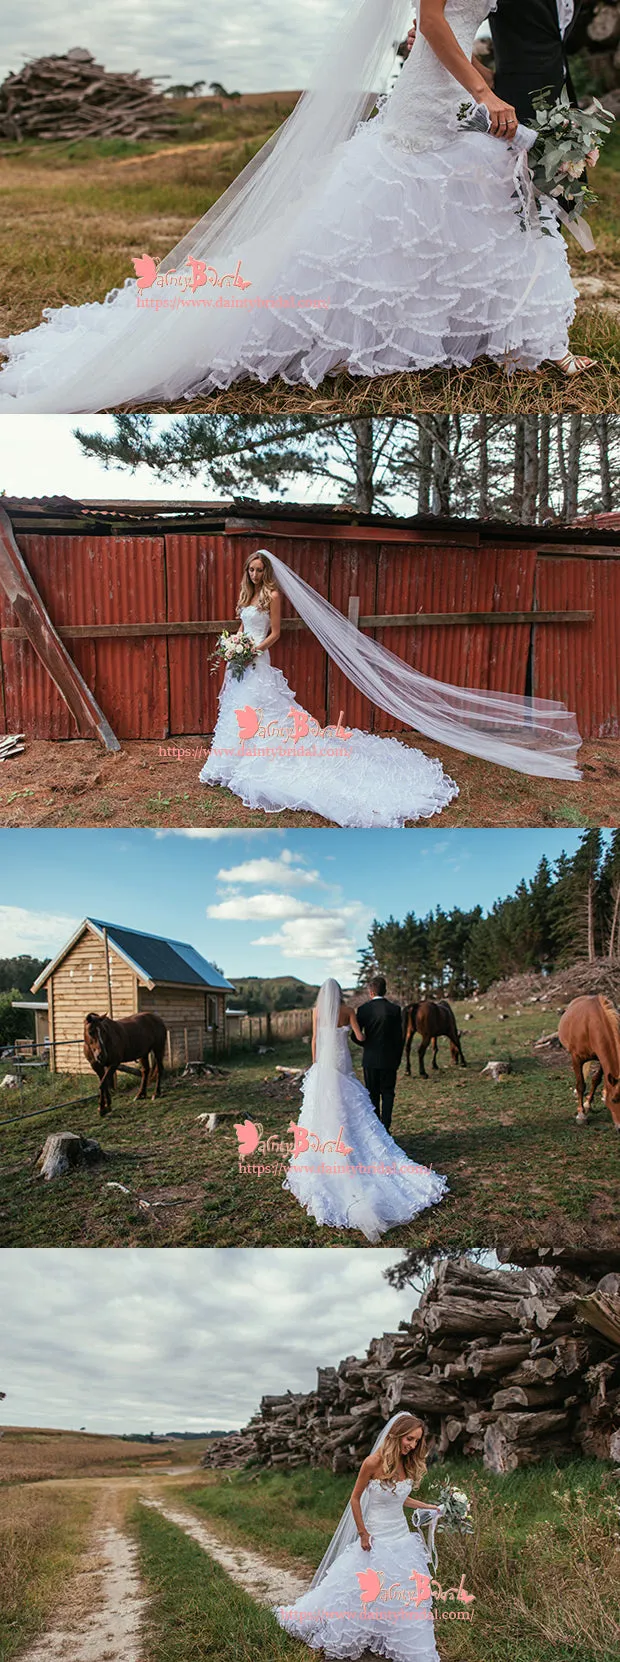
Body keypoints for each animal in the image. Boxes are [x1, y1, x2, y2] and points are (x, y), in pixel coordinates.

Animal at [555, 990, 618, 1123]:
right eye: (614, 1100)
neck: (590, 1025)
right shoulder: (576, 1058)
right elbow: (580, 1085)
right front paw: (581, 1114)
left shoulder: (601, 1059)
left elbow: (596, 1079)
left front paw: (588, 1105)